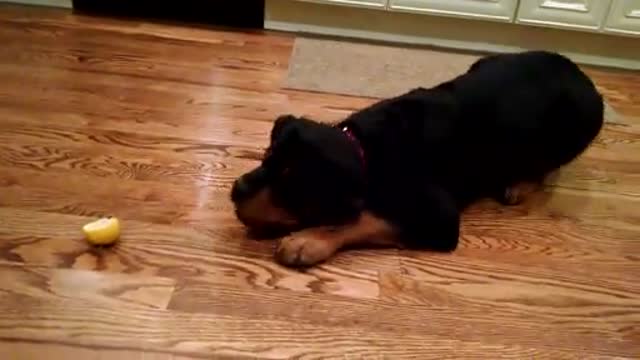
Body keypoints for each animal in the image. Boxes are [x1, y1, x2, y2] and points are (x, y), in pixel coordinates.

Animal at [231, 50, 604, 268]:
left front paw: (307, 241)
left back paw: (519, 183)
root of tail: (580, 73)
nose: (235, 189)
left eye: (291, 180)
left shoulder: (438, 218)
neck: (367, 150)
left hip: (581, 122)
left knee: (551, 165)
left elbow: (367, 218)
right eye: (267, 156)